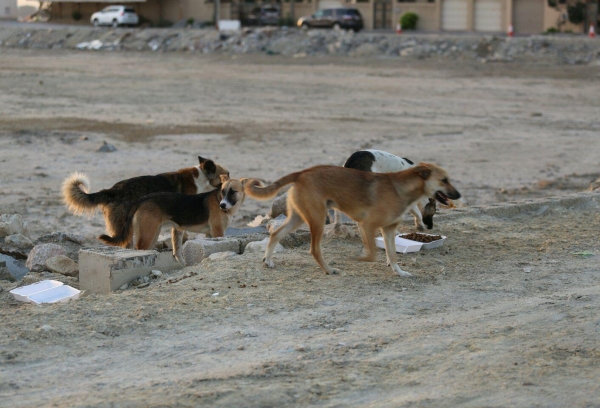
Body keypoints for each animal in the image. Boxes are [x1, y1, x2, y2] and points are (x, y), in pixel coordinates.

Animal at [108, 175, 248, 264]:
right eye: (223, 191)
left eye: (233, 192)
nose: (222, 205)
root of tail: (142, 199)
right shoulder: (218, 232)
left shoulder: (210, 234)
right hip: (147, 236)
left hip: (153, 235)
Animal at [246, 164, 462, 276]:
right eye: (444, 180)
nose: (458, 195)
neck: (401, 188)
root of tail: (302, 173)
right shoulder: (367, 225)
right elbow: (373, 254)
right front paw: (359, 258)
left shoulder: (388, 229)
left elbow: (392, 254)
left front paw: (398, 271)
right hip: (317, 220)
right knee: (314, 249)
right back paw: (328, 269)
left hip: (298, 218)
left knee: (275, 233)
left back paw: (268, 260)